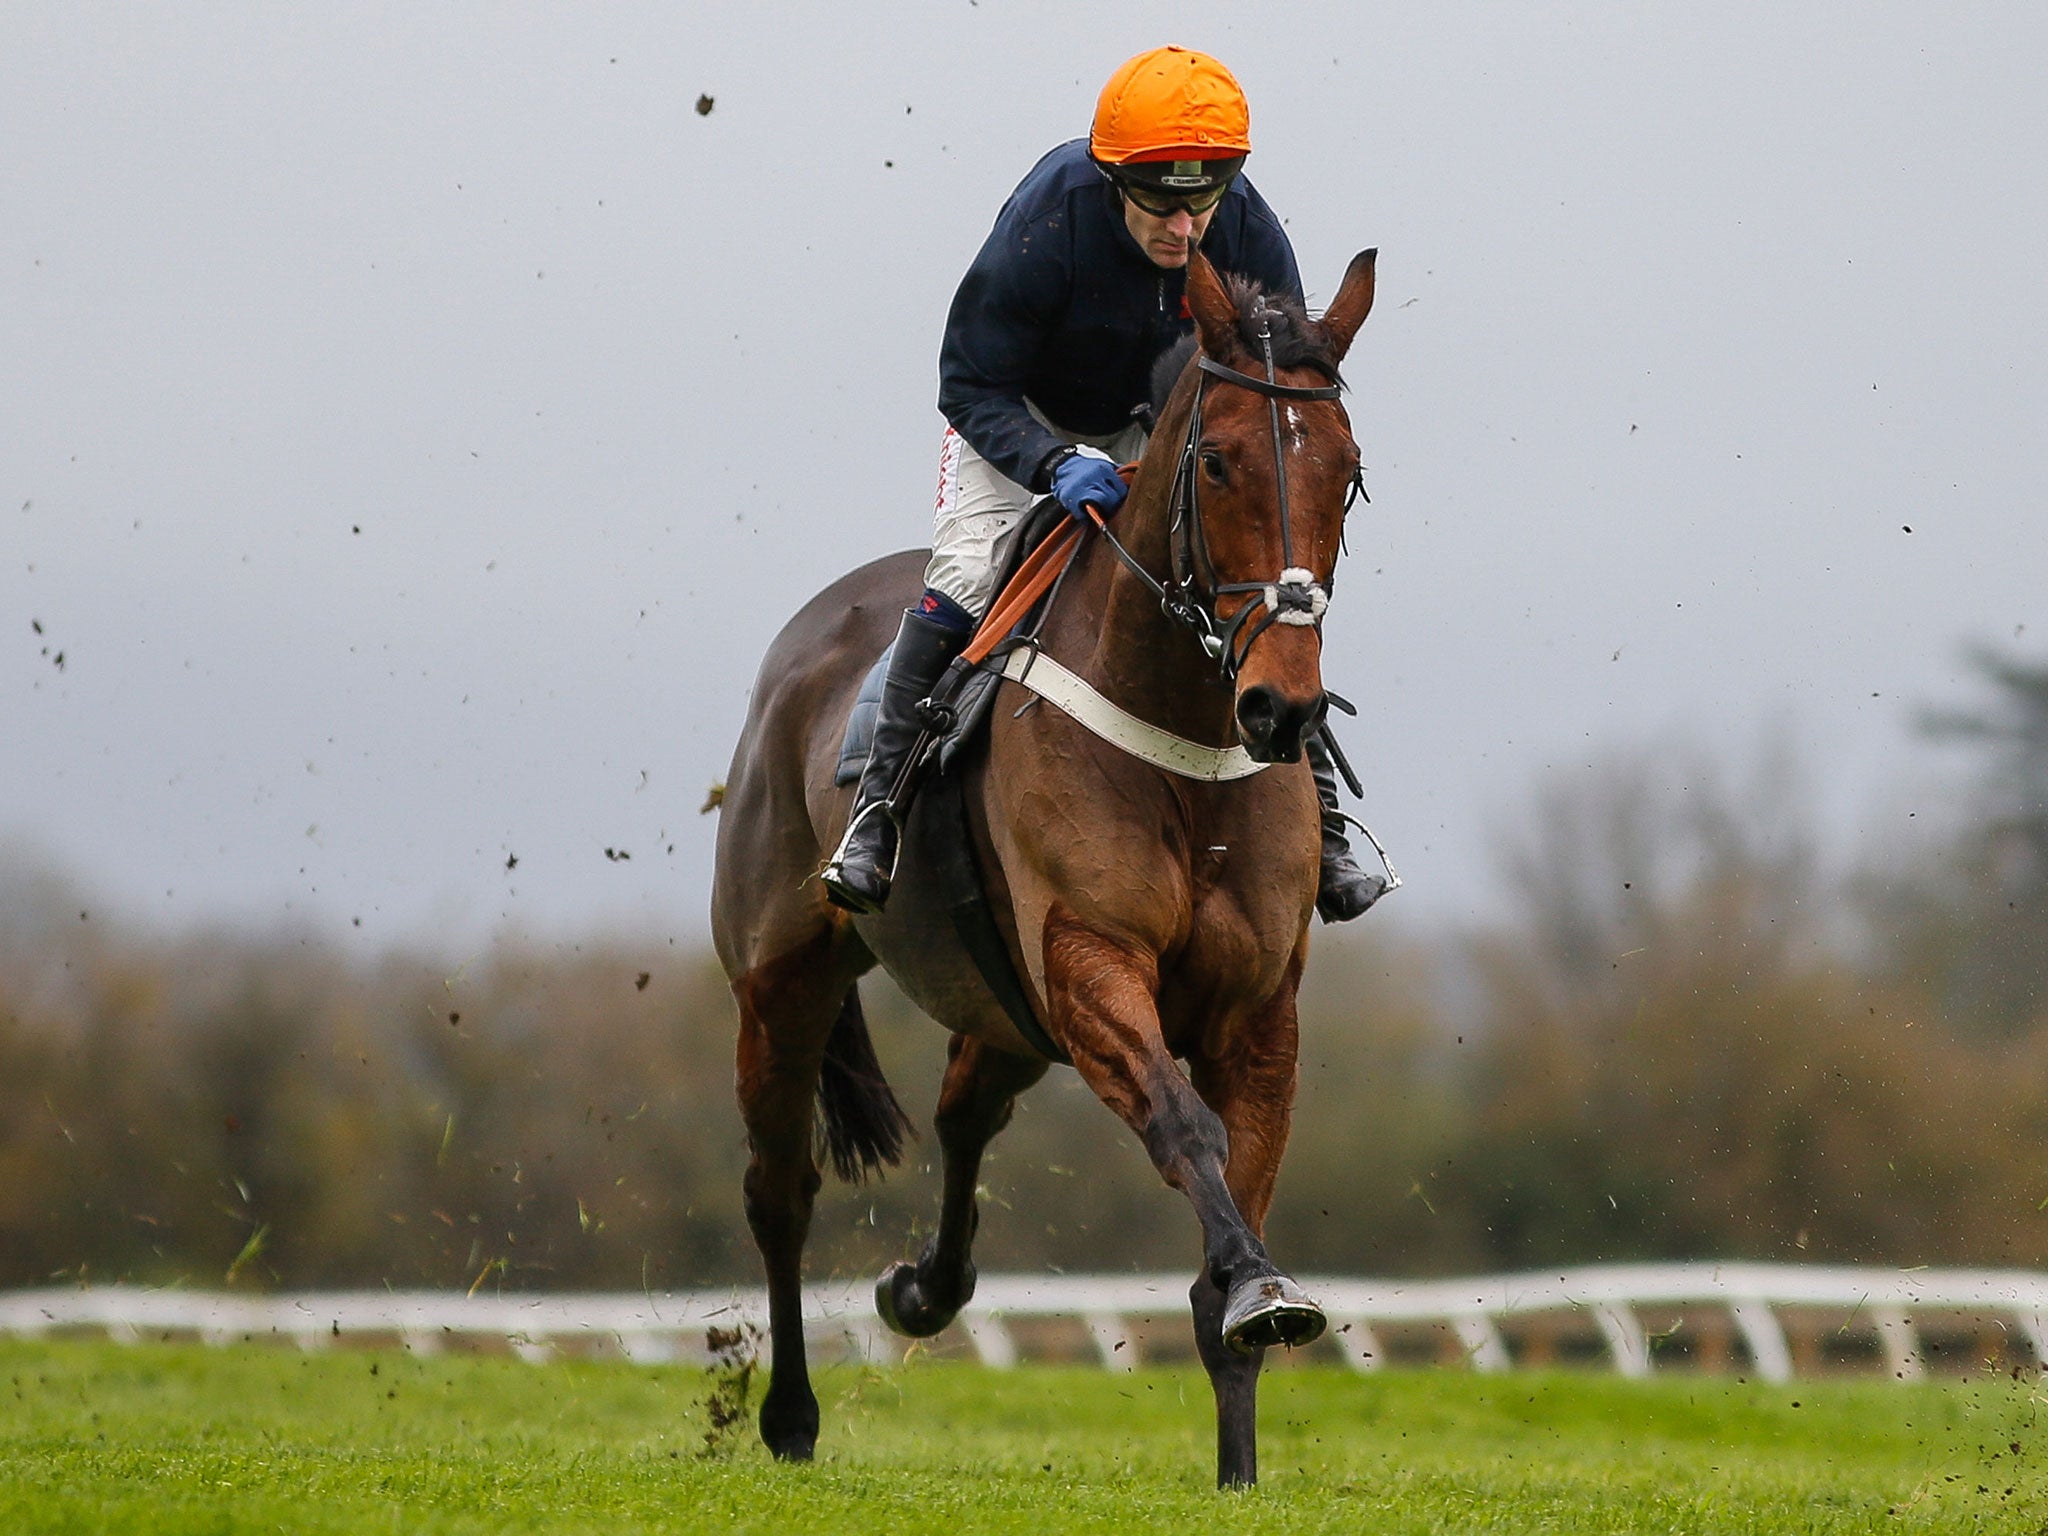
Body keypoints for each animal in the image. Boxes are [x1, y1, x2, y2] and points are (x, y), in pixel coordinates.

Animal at [712, 249, 1384, 1490]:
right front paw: (1259, 1290)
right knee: (779, 1191)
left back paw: (923, 1291)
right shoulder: (1086, 956)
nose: (1282, 707)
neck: (1181, 735)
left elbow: (1233, 1207)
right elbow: (1183, 1129)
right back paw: (789, 1417)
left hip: (1002, 1002)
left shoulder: (1255, 1010)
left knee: (961, 1112)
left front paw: (1239, 1457)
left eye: (1348, 471)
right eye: (1215, 459)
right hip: (783, 979)